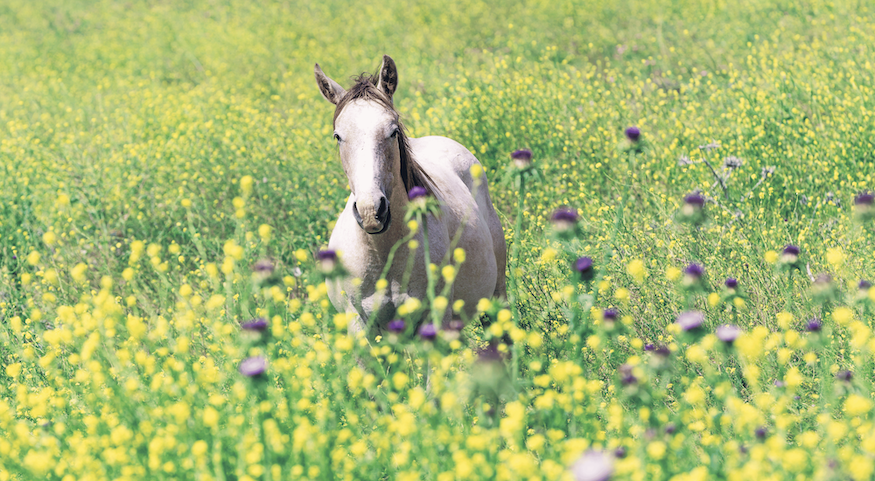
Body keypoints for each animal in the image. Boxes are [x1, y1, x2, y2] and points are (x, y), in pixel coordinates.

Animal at [314, 54, 506, 336]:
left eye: (393, 131)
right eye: (338, 136)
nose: (372, 212)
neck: (384, 253)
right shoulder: (358, 323)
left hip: (496, 296)